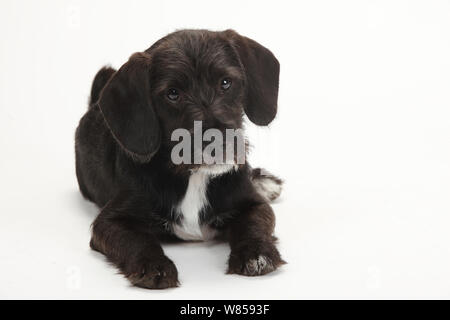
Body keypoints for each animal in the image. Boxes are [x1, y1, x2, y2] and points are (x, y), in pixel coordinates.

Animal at [75, 30, 284, 290]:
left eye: (225, 82)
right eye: (173, 93)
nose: (219, 142)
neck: (194, 176)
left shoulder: (254, 204)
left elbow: (254, 224)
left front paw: (257, 253)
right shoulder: (109, 222)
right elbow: (135, 239)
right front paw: (153, 264)